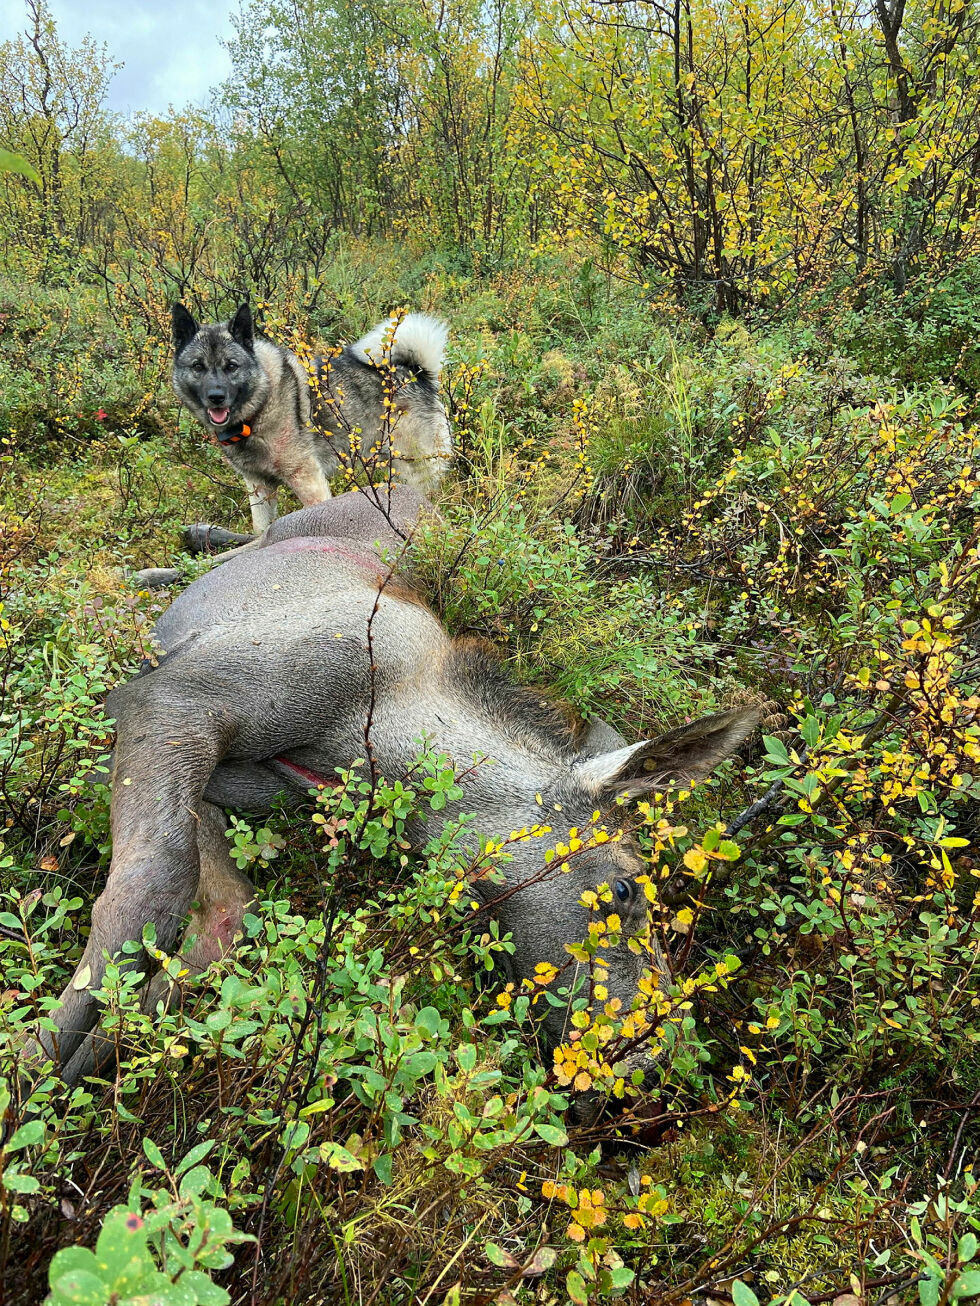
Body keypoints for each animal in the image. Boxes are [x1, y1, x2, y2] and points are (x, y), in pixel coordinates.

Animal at [171, 300, 452, 530]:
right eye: (197, 366)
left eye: (231, 366)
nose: (216, 396)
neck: (260, 405)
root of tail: (415, 373)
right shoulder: (259, 488)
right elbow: (261, 531)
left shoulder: (307, 479)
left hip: (414, 468)